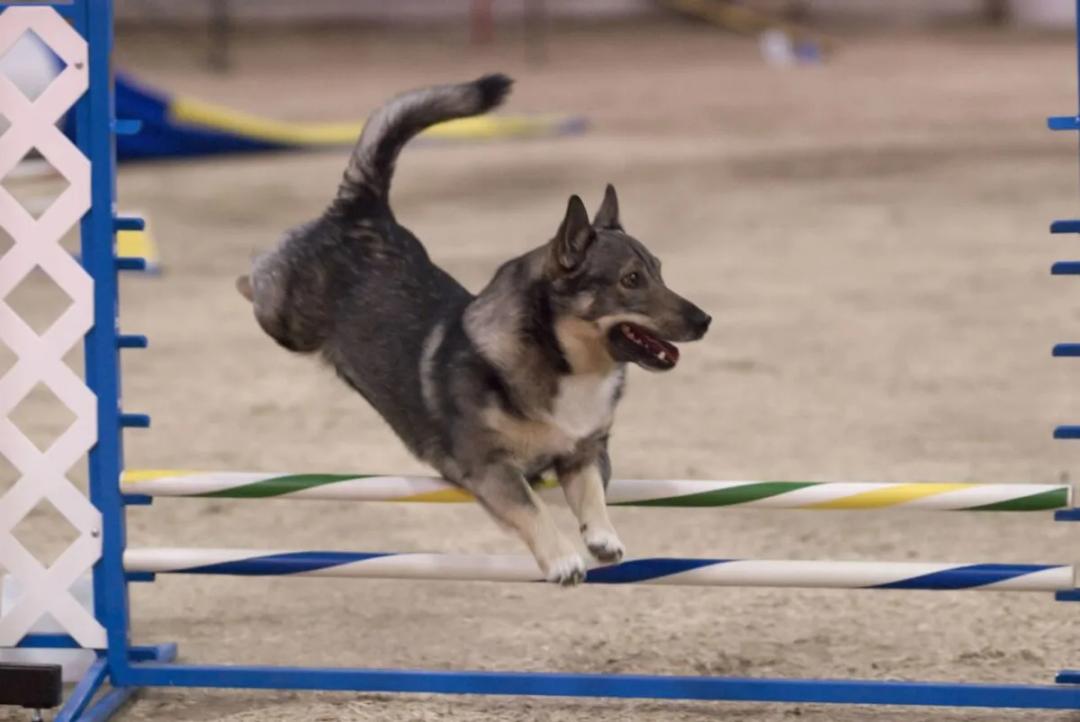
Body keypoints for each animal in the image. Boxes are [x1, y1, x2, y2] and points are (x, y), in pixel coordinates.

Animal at [236, 76, 708, 587]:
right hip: (286, 320)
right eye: (631, 280)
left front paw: (602, 538)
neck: (564, 362)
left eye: (659, 272)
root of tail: (363, 209)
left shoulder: (584, 453)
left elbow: (591, 495)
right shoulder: (488, 467)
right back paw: (244, 274)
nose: (705, 320)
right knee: (258, 273)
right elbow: (532, 507)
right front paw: (563, 559)